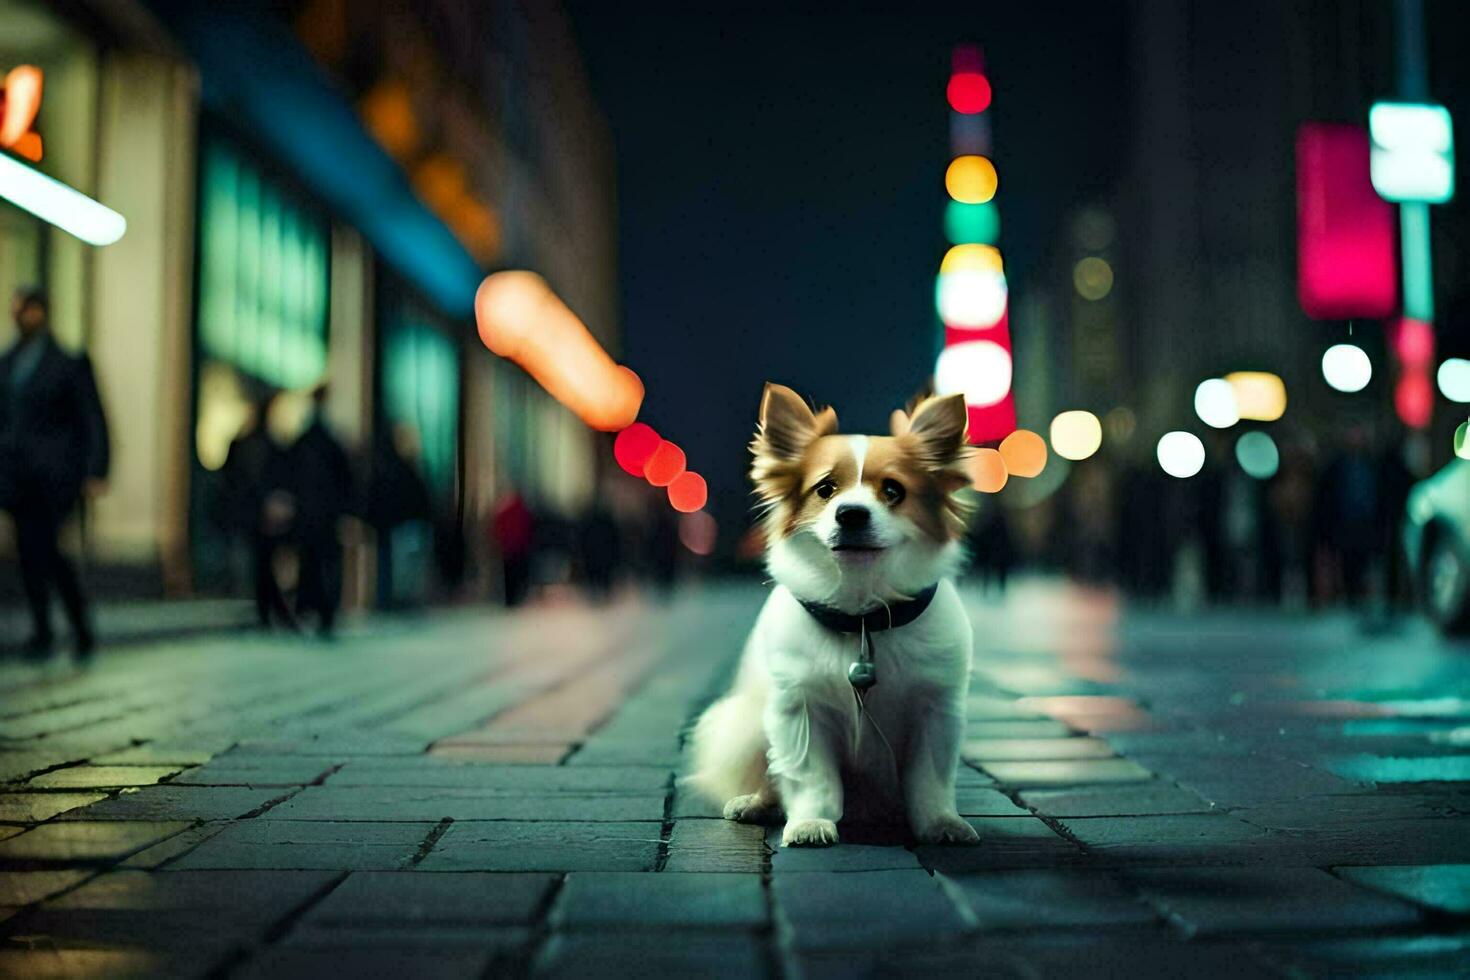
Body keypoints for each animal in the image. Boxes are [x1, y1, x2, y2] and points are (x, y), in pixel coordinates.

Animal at [685, 387, 981, 846]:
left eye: (893, 490)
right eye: (825, 489)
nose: (851, 513)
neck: (861, 616)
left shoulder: (936, 712)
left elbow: (930, 781)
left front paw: (940, 823)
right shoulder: (800, 711)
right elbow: (812, 778)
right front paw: (810, 823)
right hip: (746, 722)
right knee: (769, 775)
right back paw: (757, 803)